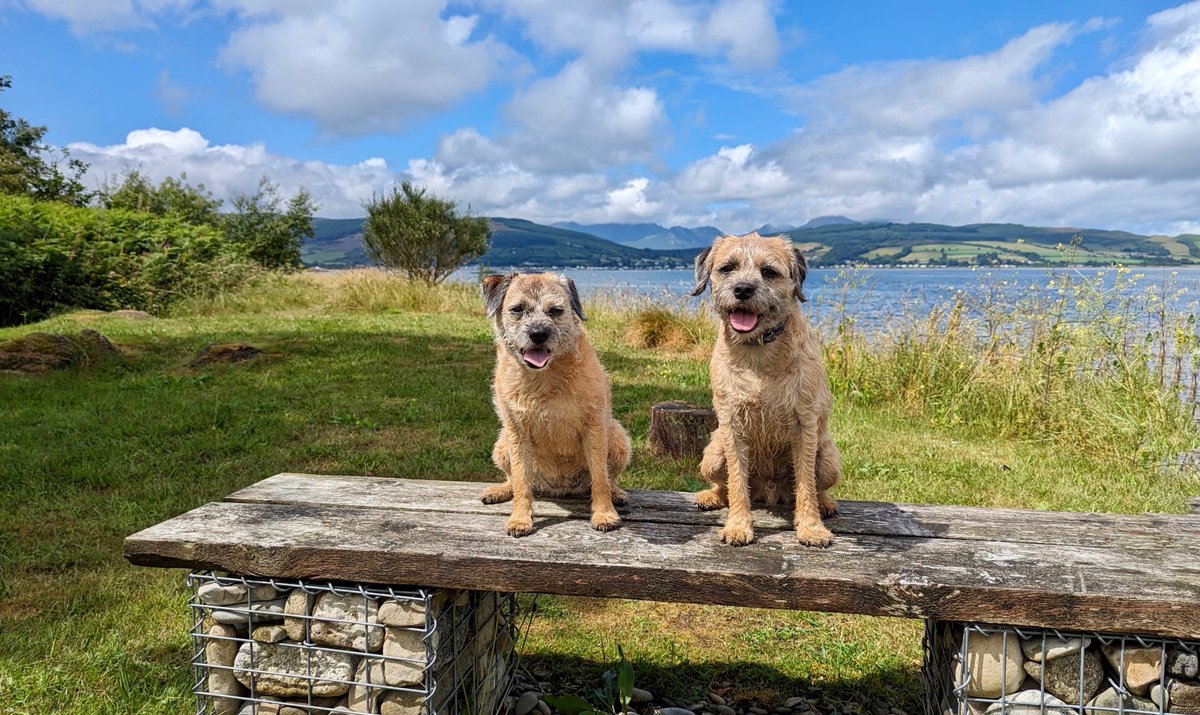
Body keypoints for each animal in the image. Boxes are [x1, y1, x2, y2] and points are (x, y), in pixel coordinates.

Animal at [477, 272, 633, 537]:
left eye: (556, 311)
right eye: (517, 309)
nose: (538, 333)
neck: (543, 378)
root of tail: (559, 489)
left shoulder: (594, 427)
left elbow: (600, 476)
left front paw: (604, 514)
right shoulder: (516, 433)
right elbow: (521, 479)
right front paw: (520, 518)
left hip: (618, 438)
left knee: (609, 477)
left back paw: (616, 493)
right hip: (501, 444)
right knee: (514, 478)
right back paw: (501, 490)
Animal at [691, 231, 840, 544]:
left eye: (769, 272)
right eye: (727, 268)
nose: (743, 289)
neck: (758, 353)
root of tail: (769, 493)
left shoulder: (804, 425)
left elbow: (806, 482)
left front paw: (811, 527)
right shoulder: (732, 426)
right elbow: (737, 482)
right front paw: (737, 526)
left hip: (829, 460)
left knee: (819, 485)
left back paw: (825, 504)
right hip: (713, 454)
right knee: (723, 485)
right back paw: (711, 497)